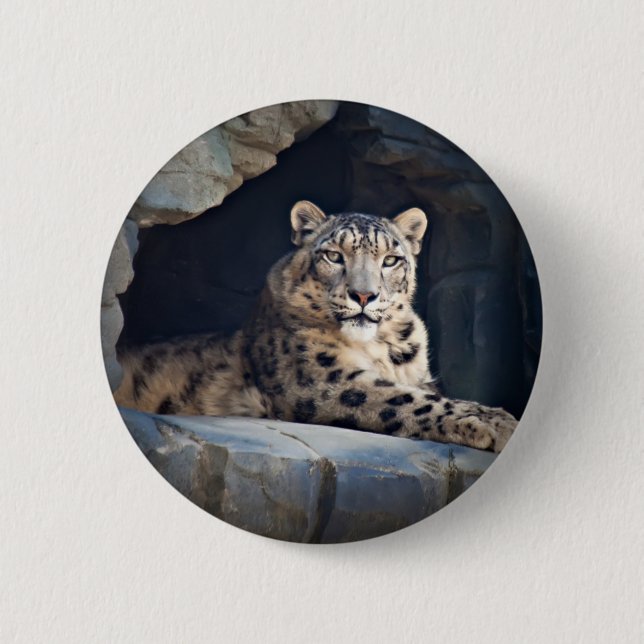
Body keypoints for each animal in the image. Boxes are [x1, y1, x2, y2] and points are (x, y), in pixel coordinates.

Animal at [114, 200, 517, 452]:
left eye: (390, 259)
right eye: (334, 255)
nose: (364, 294)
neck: (380, 348)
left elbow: (430, 394)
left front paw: (494, 416)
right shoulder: (321, 380)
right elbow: (405, 399)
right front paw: (498, 424)